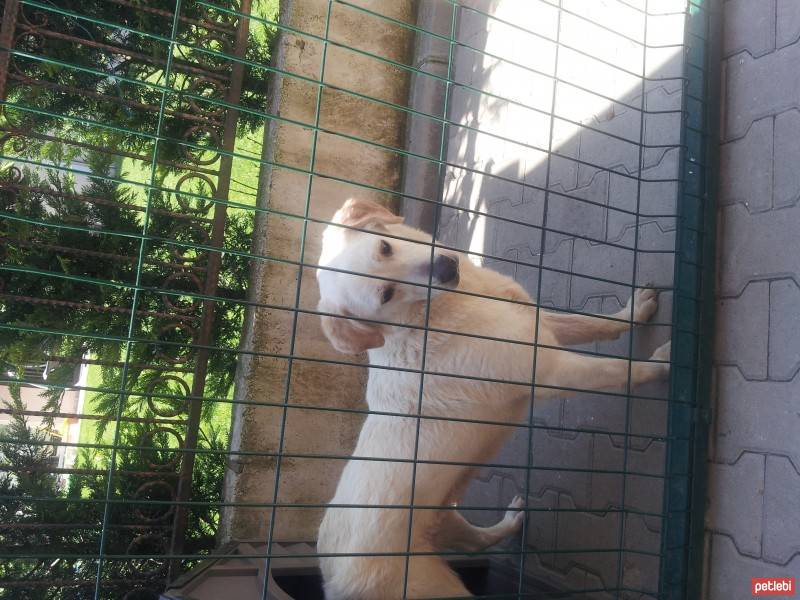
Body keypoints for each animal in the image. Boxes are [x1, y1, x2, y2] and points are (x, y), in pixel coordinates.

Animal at [312, 199, 668, 596]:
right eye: (385, 294)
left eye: (385, 247)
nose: (445, 267)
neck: (432, 314)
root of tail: (331, 578)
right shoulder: (549, 370)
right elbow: (621, 369)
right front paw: (664, 363)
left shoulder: (536, 325)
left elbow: (596, 323)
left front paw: (636, 312)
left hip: (447, 515)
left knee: (475, 540)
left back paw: (509, 524)